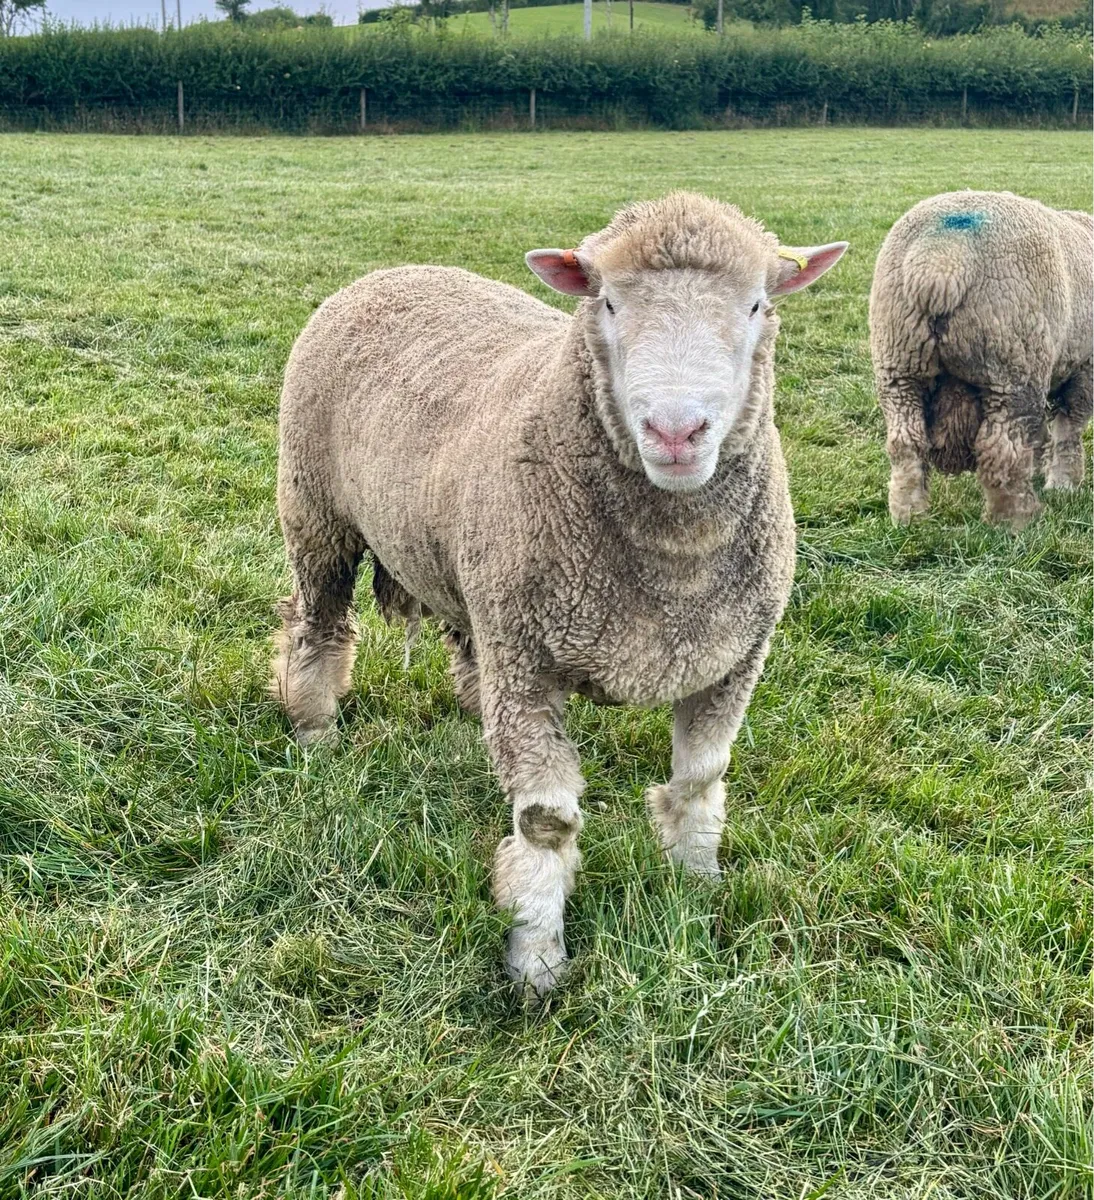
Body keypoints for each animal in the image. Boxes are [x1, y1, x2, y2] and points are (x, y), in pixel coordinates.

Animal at [271, 192, 848, 997]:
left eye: (758, 304)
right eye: (606, 302)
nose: (675, 431)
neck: (673, 568)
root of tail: (394, 270)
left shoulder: (733, 657)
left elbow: (700, 778)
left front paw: (696, 885)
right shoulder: (530, 663)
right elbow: (546, 823)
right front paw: (536, 957)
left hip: (472, 567)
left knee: (464, 646)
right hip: (317, 512)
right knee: (318, 624)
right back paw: (316, 730)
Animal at [869, 190, 1093, 530]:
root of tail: (941, 259)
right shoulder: (1084, 369)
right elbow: (1068, 431)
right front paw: (1064, 485)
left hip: (898, 363)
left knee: (906, 444)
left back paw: (909, 517)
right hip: (1012, 364)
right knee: (1002, 449)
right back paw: (1013, 522)